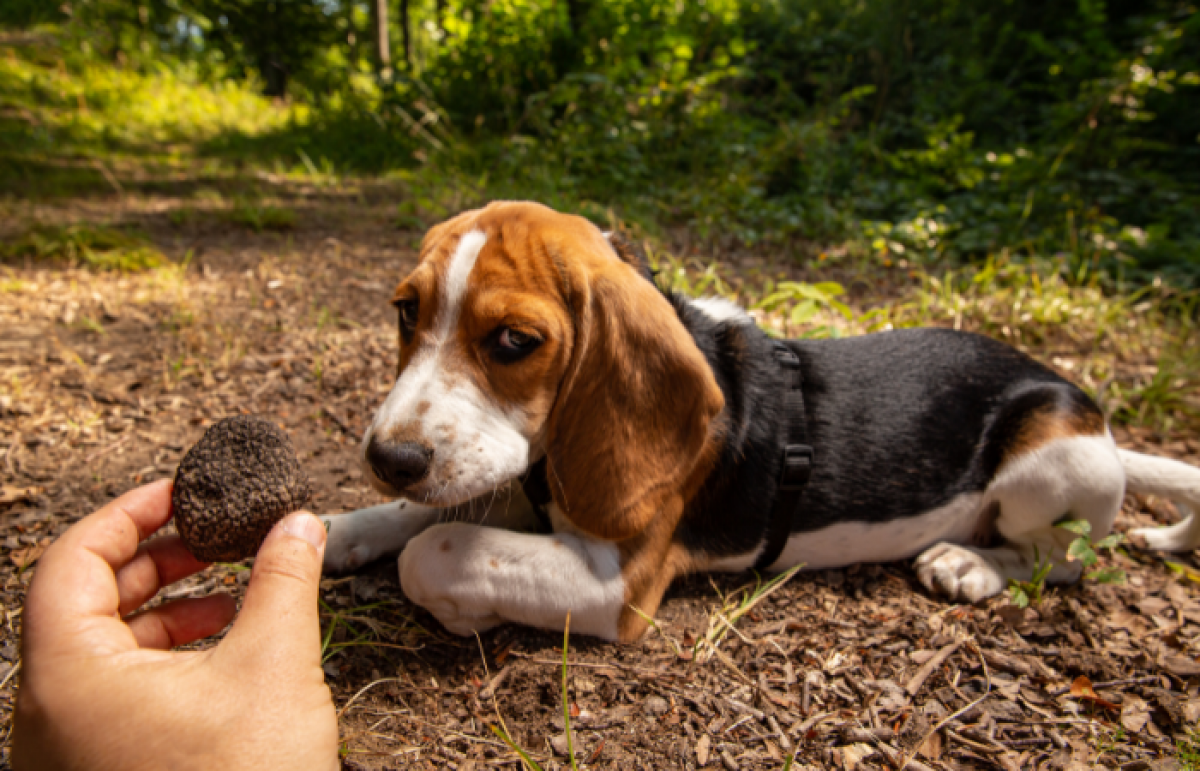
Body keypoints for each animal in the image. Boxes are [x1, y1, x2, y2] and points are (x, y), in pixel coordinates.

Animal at [319, 199, 1200, 643]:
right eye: (406, 312)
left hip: (1048, 463)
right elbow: (415, 516)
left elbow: (437, 547)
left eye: (513, 341)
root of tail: (1089, 411)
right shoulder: (523, 476)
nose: (389, 456)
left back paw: (970, 564)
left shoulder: (617, 582)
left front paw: (455, 603)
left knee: (1063, 559)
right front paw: (334, 529)